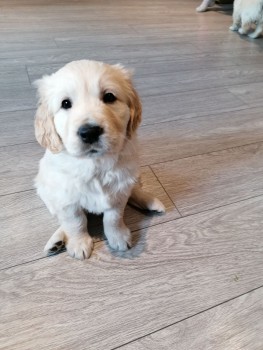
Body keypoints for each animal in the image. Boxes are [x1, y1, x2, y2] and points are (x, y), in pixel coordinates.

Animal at [34, 59, 166, 260]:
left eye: (109, 97)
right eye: (65, 103)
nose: (89, 132)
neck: (93, 163)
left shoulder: (118, 190)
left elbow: (113, 217)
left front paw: (118, 237)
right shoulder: (66, 197)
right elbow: (75, 221)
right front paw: (79, 243)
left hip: (132, 174)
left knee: (133, 190)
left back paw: (150, 201)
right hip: (44, 188)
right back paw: (56, 242)